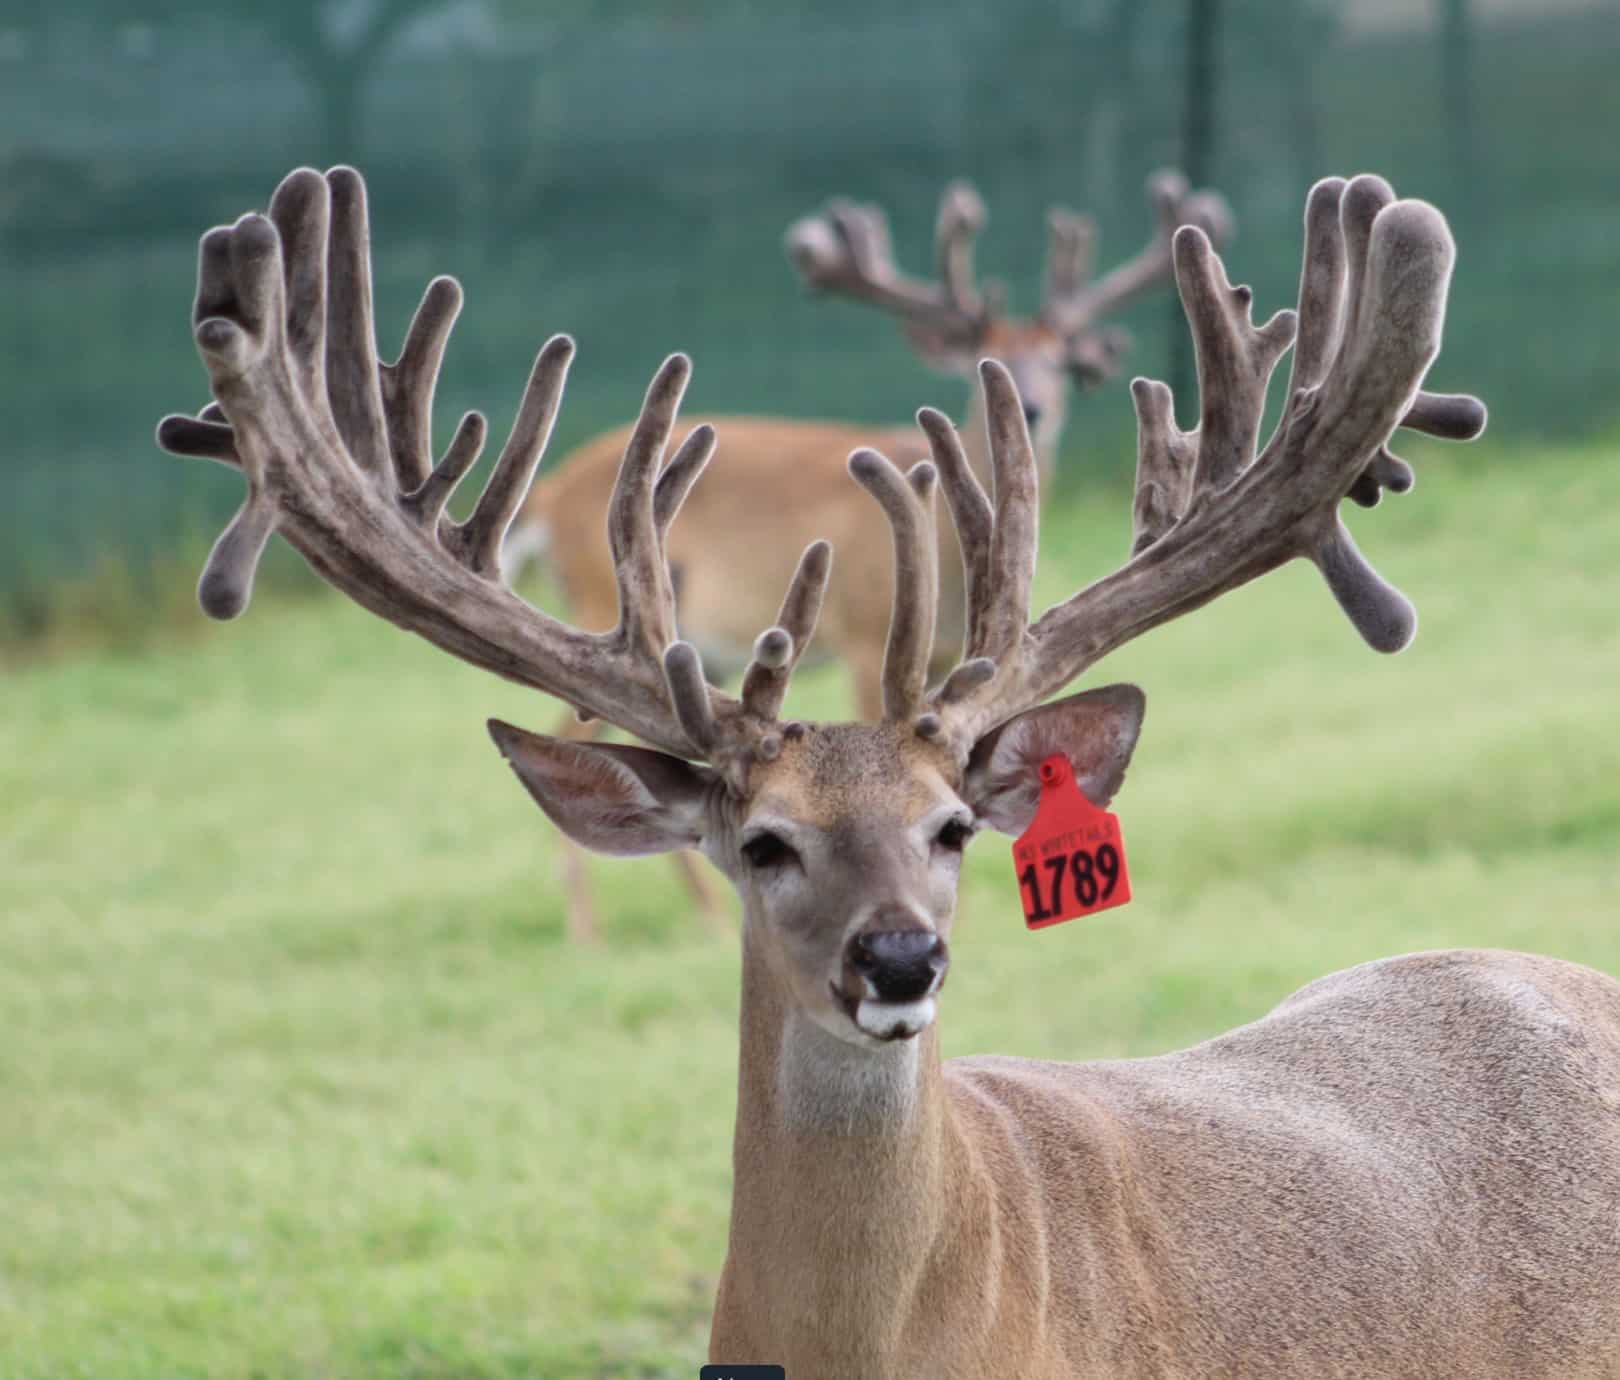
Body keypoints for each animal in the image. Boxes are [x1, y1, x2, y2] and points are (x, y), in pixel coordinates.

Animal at [499, 170, 1231, 942]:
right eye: (985, 362)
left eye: (1061, 360)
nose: (1035, 406)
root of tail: (548, 492)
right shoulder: (859, 634)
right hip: (597, 598)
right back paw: (608, 928)